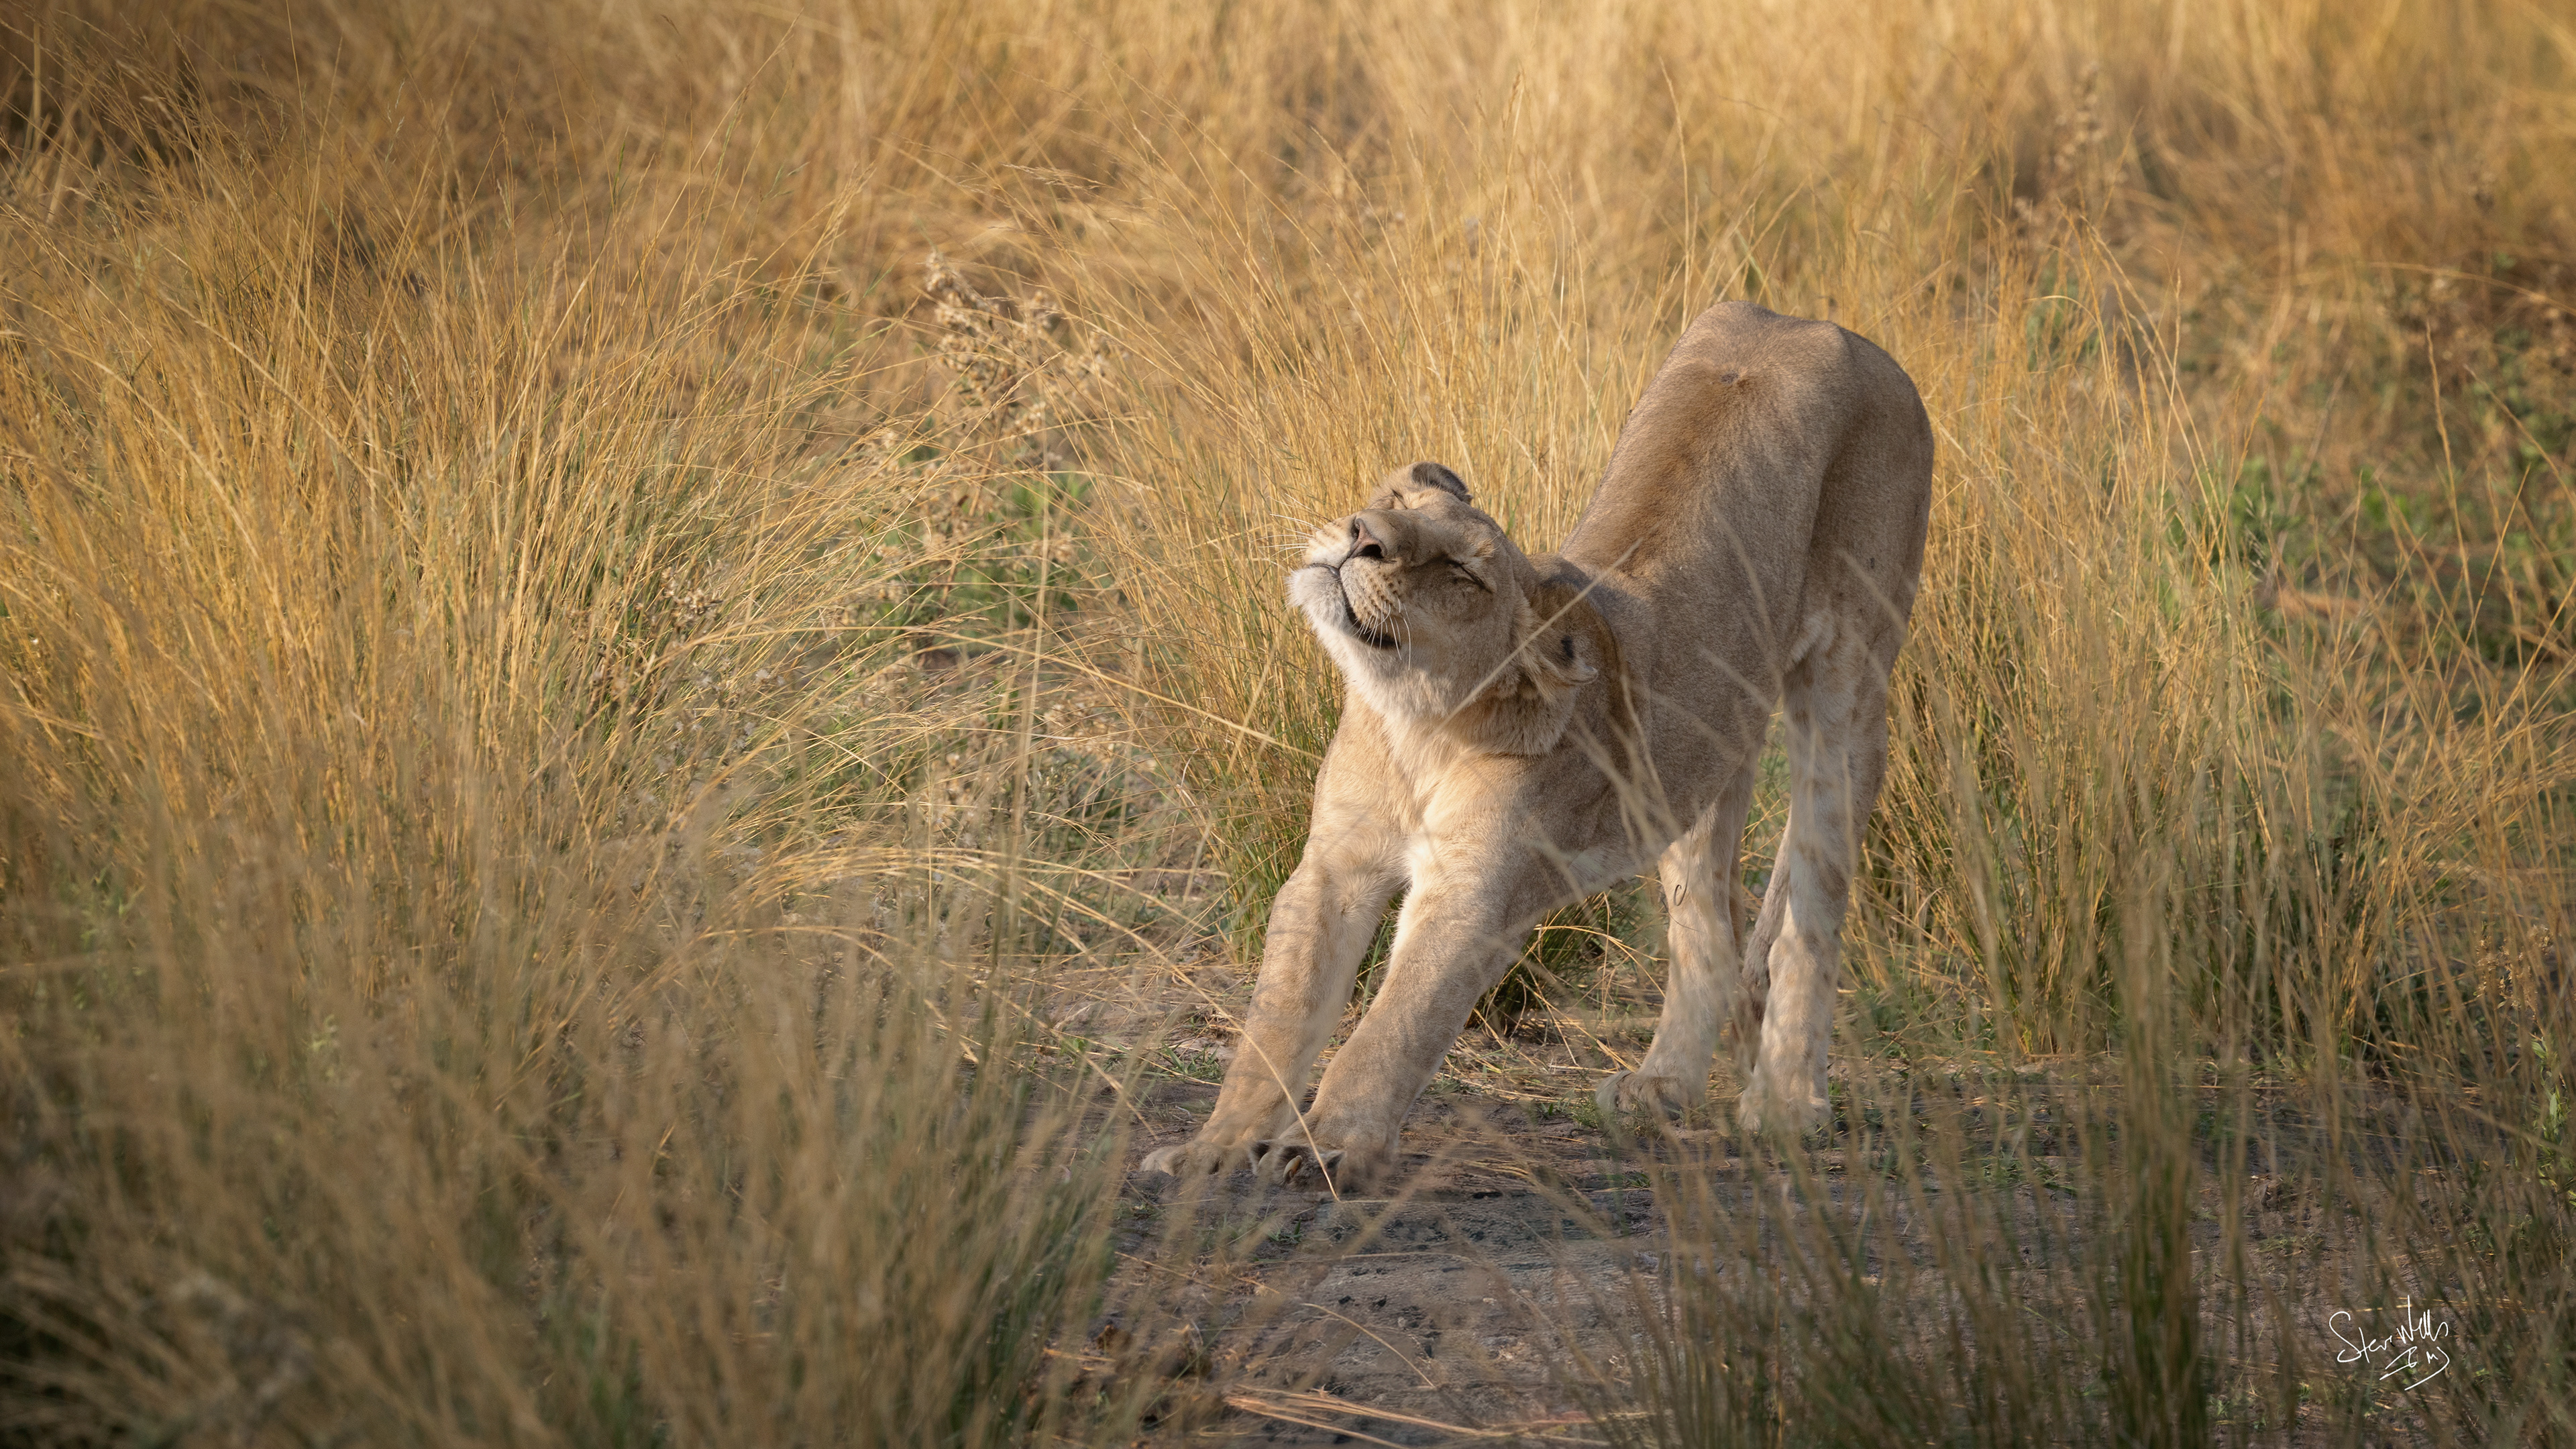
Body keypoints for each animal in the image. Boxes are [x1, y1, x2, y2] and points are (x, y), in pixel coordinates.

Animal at [1143, 301, 1934, 1193]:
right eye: (1393, 496)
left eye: (1461, 572)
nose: (1360, 533)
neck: (1417, 730)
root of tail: (1805, 317)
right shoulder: (1332, 868)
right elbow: (1276, 1023)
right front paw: (1216, 1146)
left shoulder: (1473, 894)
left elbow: (1393, 1027)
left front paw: (1330, 1146)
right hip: (1701, 750)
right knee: (1706, 922)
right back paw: (1661, 1086)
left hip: (1849, 688)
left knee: (1810, 910)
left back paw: (1787, 1102)